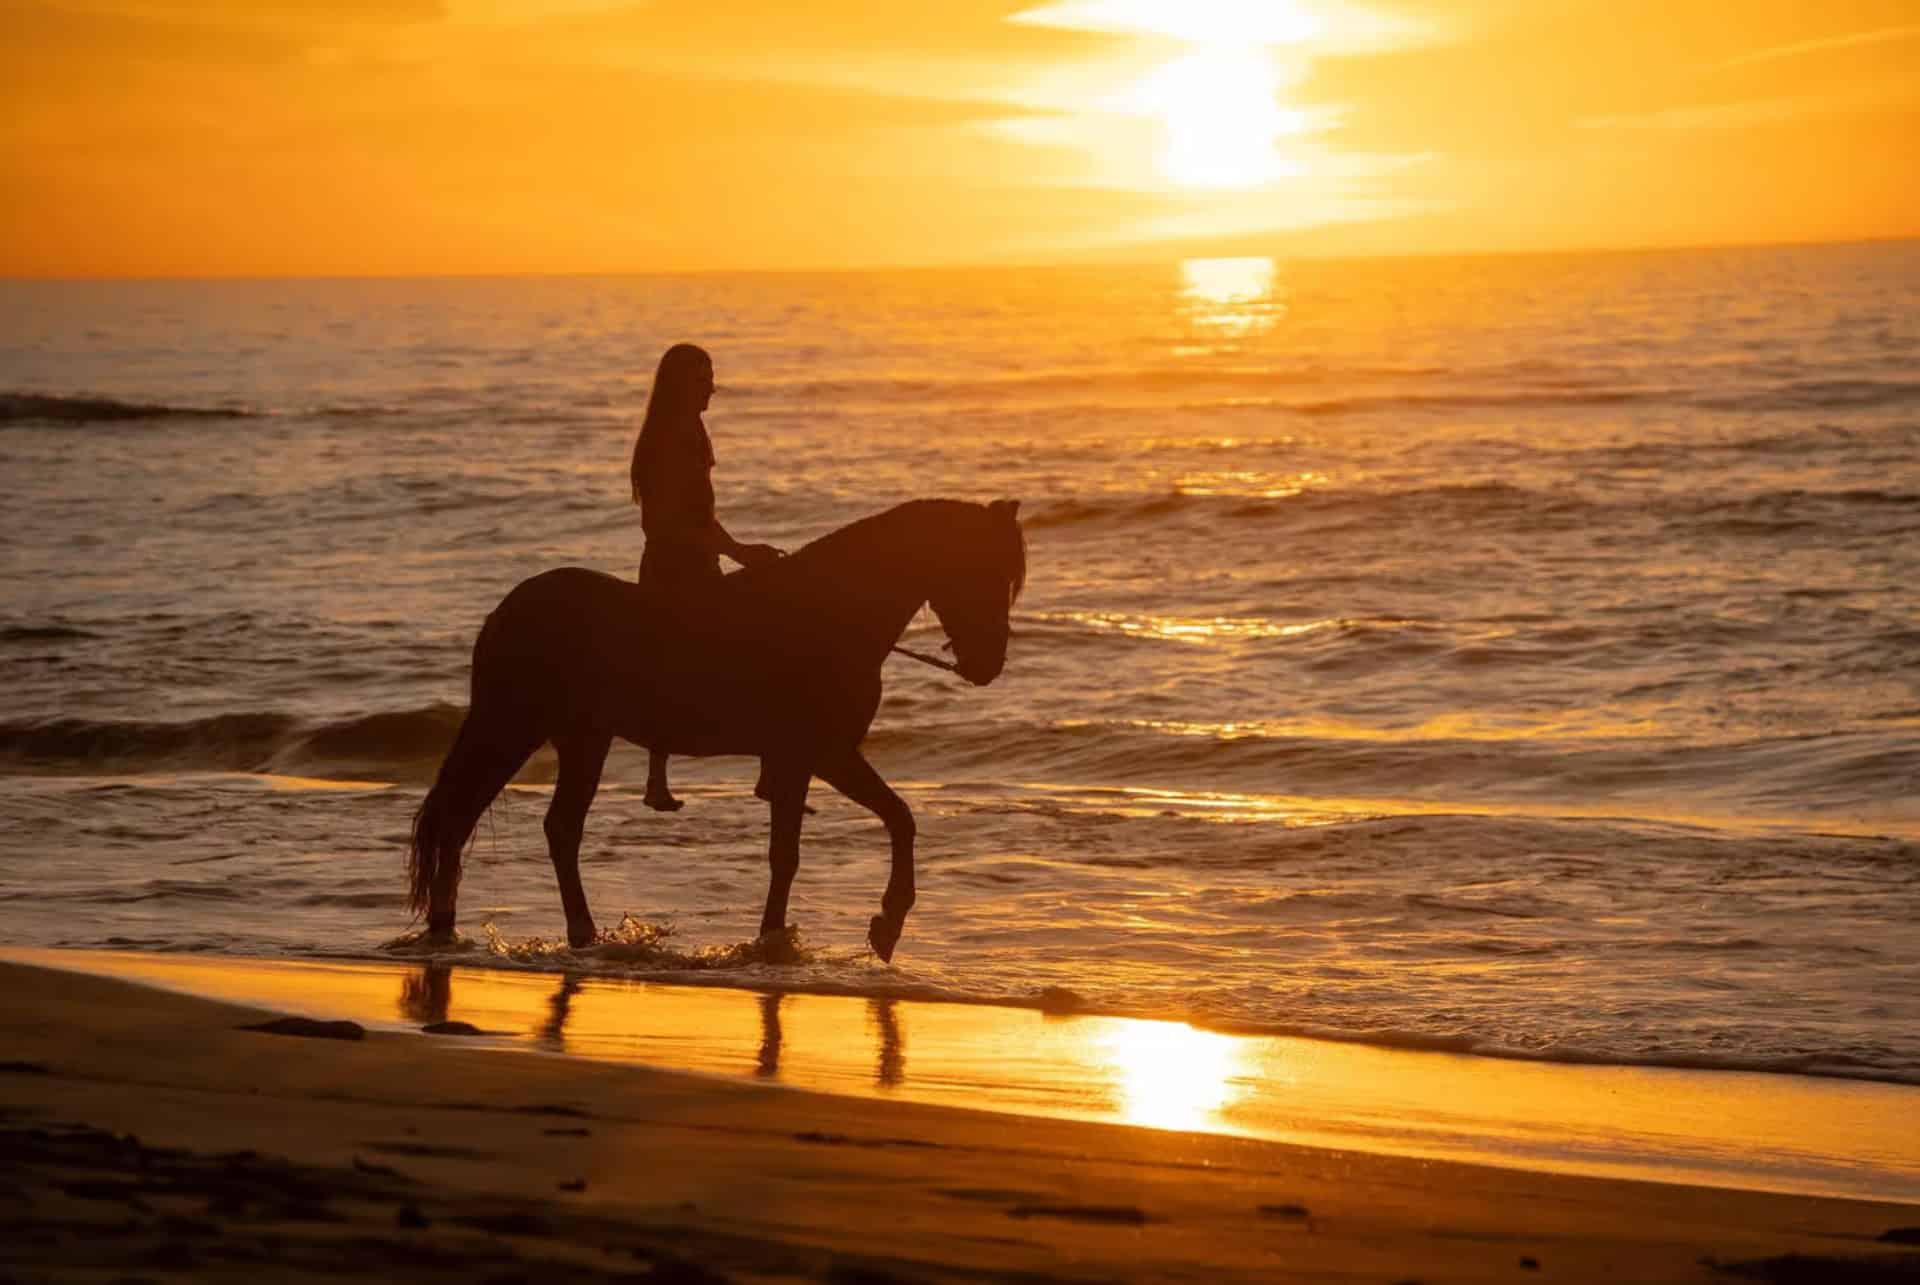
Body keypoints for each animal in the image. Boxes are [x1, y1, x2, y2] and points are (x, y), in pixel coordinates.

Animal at [407, 497, 1025, 962]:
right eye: (981, 570)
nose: (988, 664)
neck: (830, 611)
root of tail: (505, 612)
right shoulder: (818, 753)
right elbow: (835, 838)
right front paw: (861, 926)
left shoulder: (812, 757)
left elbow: (859, 830)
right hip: (516, 725)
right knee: (471, 816)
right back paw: (474, 930)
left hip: (580, 738)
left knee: (537, 826)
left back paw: (536, 934)